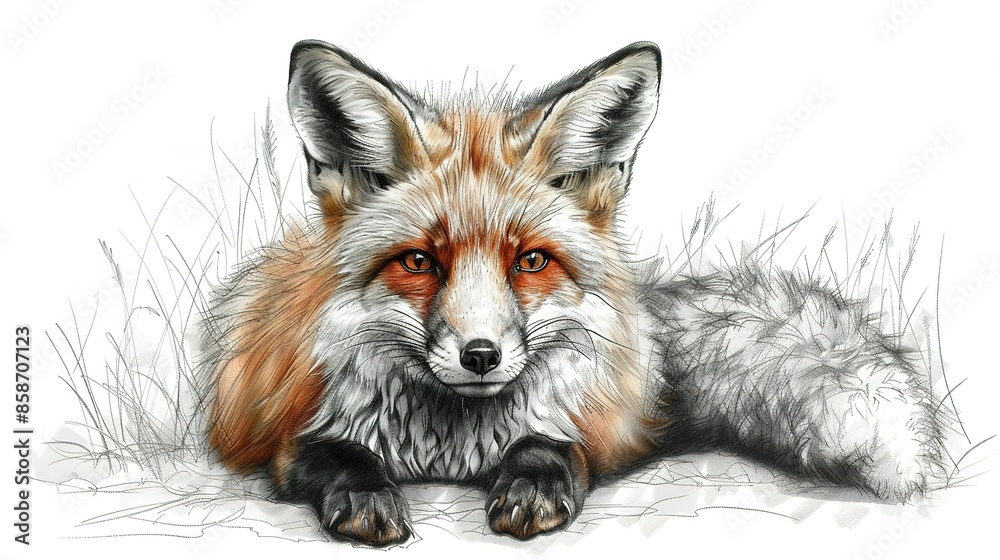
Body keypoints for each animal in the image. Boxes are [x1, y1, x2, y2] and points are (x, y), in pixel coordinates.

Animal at [200, 40, 942, 546]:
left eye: (531, 260)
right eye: (418, 261)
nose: (479, 356)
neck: (451, 445)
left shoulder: (594, 430)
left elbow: (554, 446)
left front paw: (532, 483)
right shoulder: (281, 436)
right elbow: (338, 454)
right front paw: (366, 495)